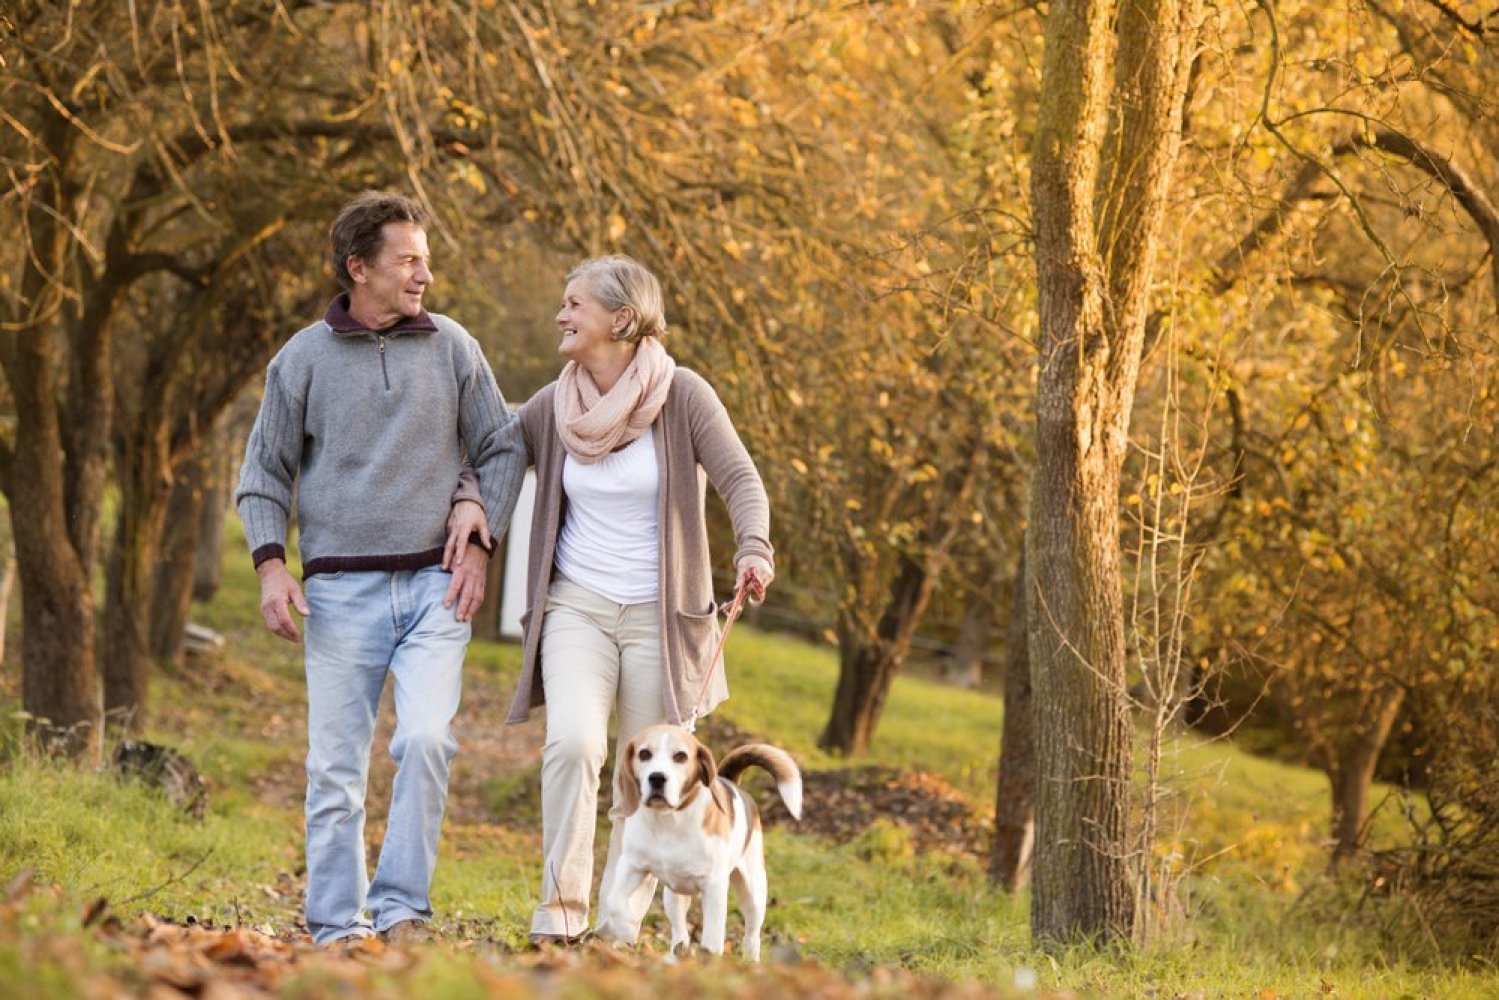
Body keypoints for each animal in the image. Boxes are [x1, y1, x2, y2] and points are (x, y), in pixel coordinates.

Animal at [593, 719, 803, 959]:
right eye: (644, 754)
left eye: (681, 756)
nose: (657, 778)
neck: (667, 820)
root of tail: (733, 784)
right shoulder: (631, 866)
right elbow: (614, 902)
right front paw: (624, 927)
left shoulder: (714, 887)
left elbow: (712, 937)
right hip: (673, 895)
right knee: (680, 931)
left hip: (754, 893)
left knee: (752, 934)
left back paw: (750, 960)